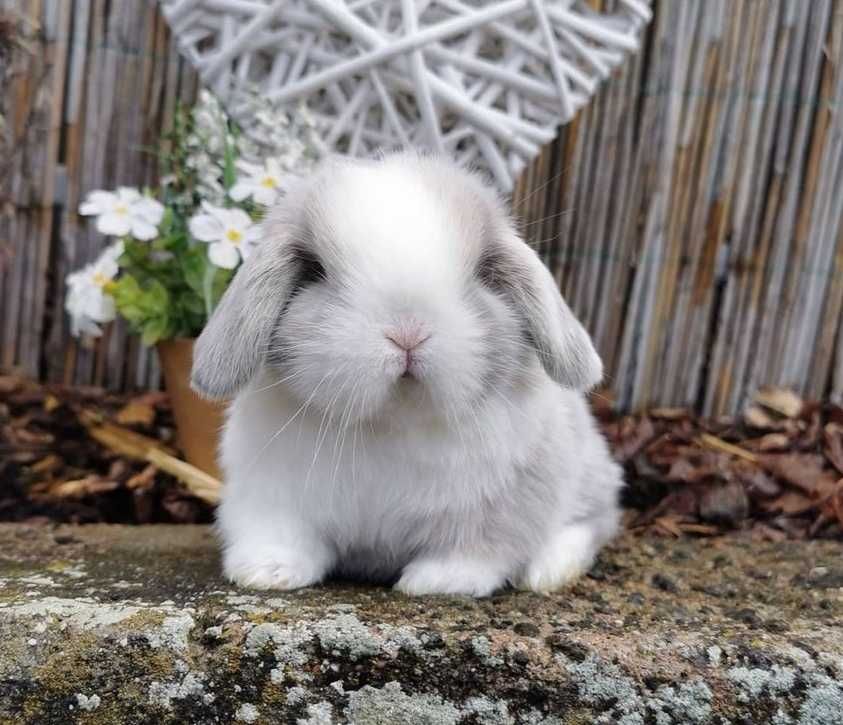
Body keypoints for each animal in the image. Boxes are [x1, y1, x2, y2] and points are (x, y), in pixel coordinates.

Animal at [193, 151, 628, 592]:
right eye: (313, 270)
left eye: (483, 271)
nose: (407, 333)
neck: (391, 422)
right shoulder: (270, 499)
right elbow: (282, 538)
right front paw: (265, 573)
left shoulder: (497, 509)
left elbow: (475, 550)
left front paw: (438, 582)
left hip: (590, 477)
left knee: (592, 523)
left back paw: (549, 572)